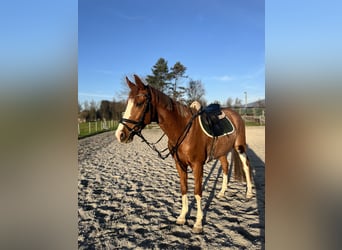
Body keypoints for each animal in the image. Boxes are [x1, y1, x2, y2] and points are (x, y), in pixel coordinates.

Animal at [116, 75, 252, 233]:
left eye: (139, 103)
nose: (120, 134)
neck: (182, 128)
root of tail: (236, 115)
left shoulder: (197, 165)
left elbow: (197, 192)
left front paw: (198, 223)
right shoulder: (179, 165)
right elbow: (184, 189)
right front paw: (182, 217)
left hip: (239, 147)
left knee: (246, 165)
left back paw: (249, 193)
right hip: (222, 151)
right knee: (225, 166)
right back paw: (222, 192)